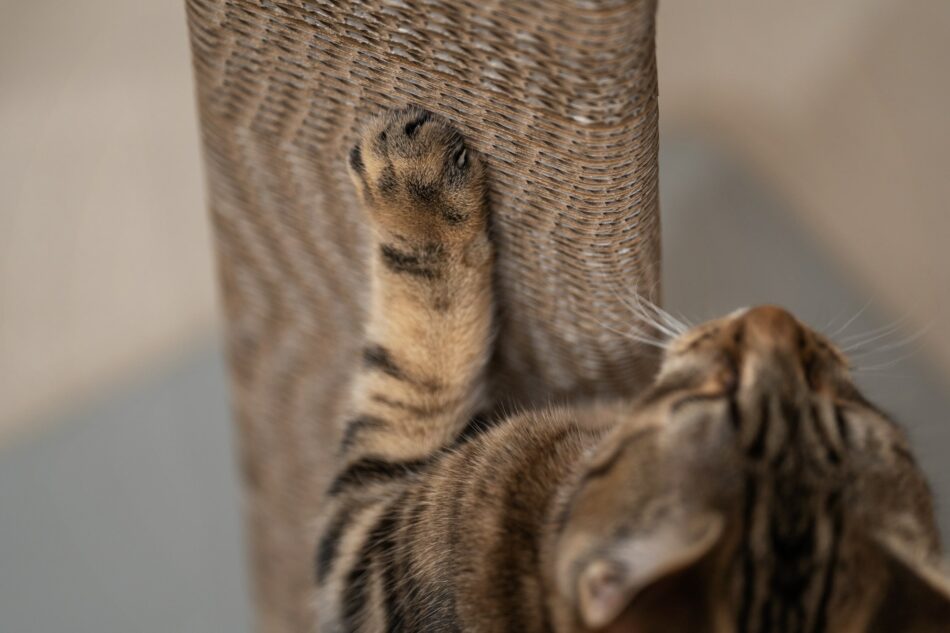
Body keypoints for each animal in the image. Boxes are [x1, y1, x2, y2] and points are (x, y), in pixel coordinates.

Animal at [318, 106, 950, 628]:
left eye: (718, 388)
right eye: (836, 398)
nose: (775, 315)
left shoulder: (363, 547)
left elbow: (421, 330)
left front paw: (413, 187)